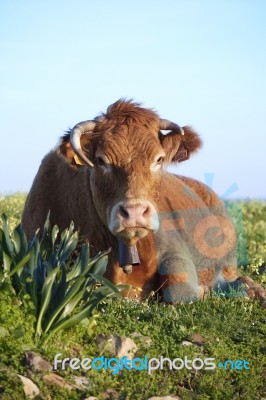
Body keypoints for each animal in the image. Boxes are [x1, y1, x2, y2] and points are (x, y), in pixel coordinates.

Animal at [21, 99, 264, 304]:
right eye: (101, 160)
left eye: (159, 159)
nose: (135, 212)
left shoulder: (174, 250)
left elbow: (180, 291)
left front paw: (204, 290)